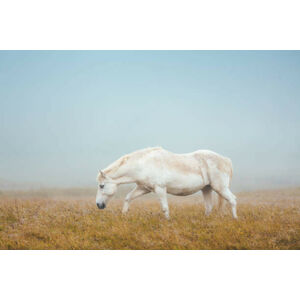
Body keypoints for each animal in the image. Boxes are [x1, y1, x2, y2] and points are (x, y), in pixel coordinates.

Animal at [95, 147, 237, 218]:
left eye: (102, 186)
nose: (99, 205)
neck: (144, 164)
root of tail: (226, 159)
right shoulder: (144, 188)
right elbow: (128, 197)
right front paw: (124, 214)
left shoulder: (160, 189)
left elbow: (164, 208)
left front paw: (167, 221)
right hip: (207, 188)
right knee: (208, 207)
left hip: (220, 188)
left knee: (232, 200)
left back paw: (234, 219)